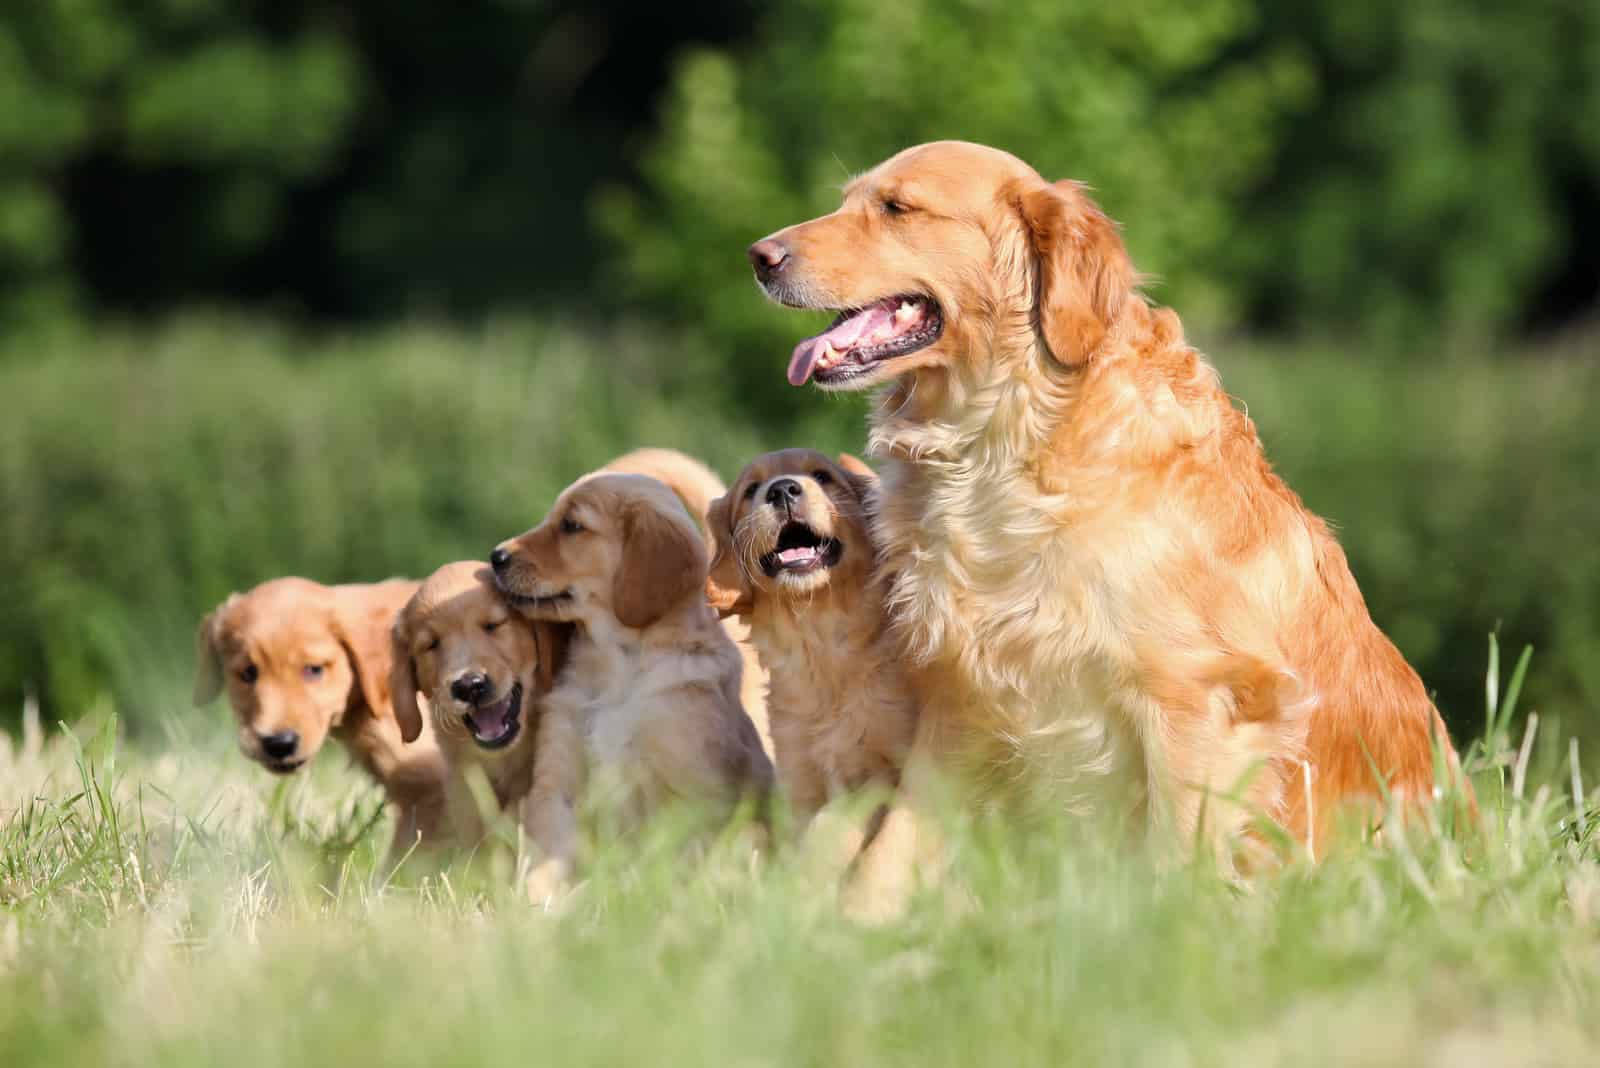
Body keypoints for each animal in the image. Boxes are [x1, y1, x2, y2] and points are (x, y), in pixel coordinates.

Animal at [492, 476, 780, 895]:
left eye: (572, 525)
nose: (495, 556)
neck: (620, 666)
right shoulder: (557, 783)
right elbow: (547, 860)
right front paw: (533, 904)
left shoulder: (690, 789)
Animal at [707, 450, 921, 908]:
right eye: (751, 489)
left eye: (823, 477)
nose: (782, 490)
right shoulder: (798, 780)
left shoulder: (887, 769)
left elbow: (836, 821)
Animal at [745, 137, 1465, 882]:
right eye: (847, 200)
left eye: (896, 207)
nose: (759, 255)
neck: (1000, 443)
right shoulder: (958, 699)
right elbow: (889, 853)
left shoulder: (1194, 700)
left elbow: (1175, 859)